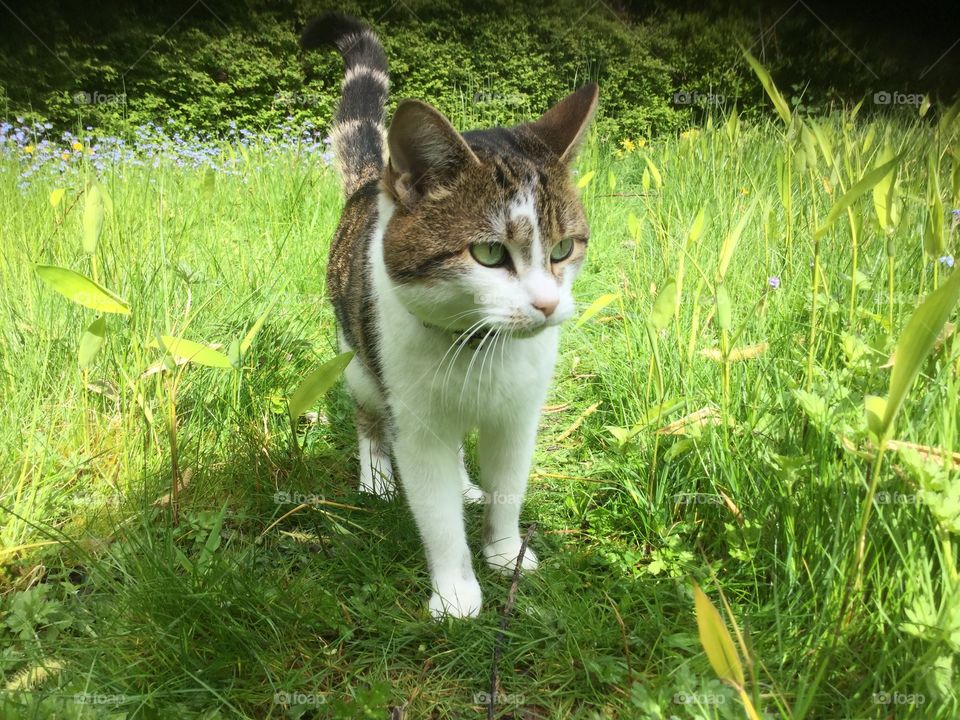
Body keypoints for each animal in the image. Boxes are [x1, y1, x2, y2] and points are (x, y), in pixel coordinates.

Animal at [304, 12, 596, 620]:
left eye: (563, 249)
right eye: (488, 253)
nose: (547, 304)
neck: (478, 346)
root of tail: (372, 182)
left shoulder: (517, 417)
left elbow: (509, 489)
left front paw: (505, 552)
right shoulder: (416, 423)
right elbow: (436, 517)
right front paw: (456, 592)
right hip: (360, 362)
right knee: (369, 420)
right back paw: (376, 479)